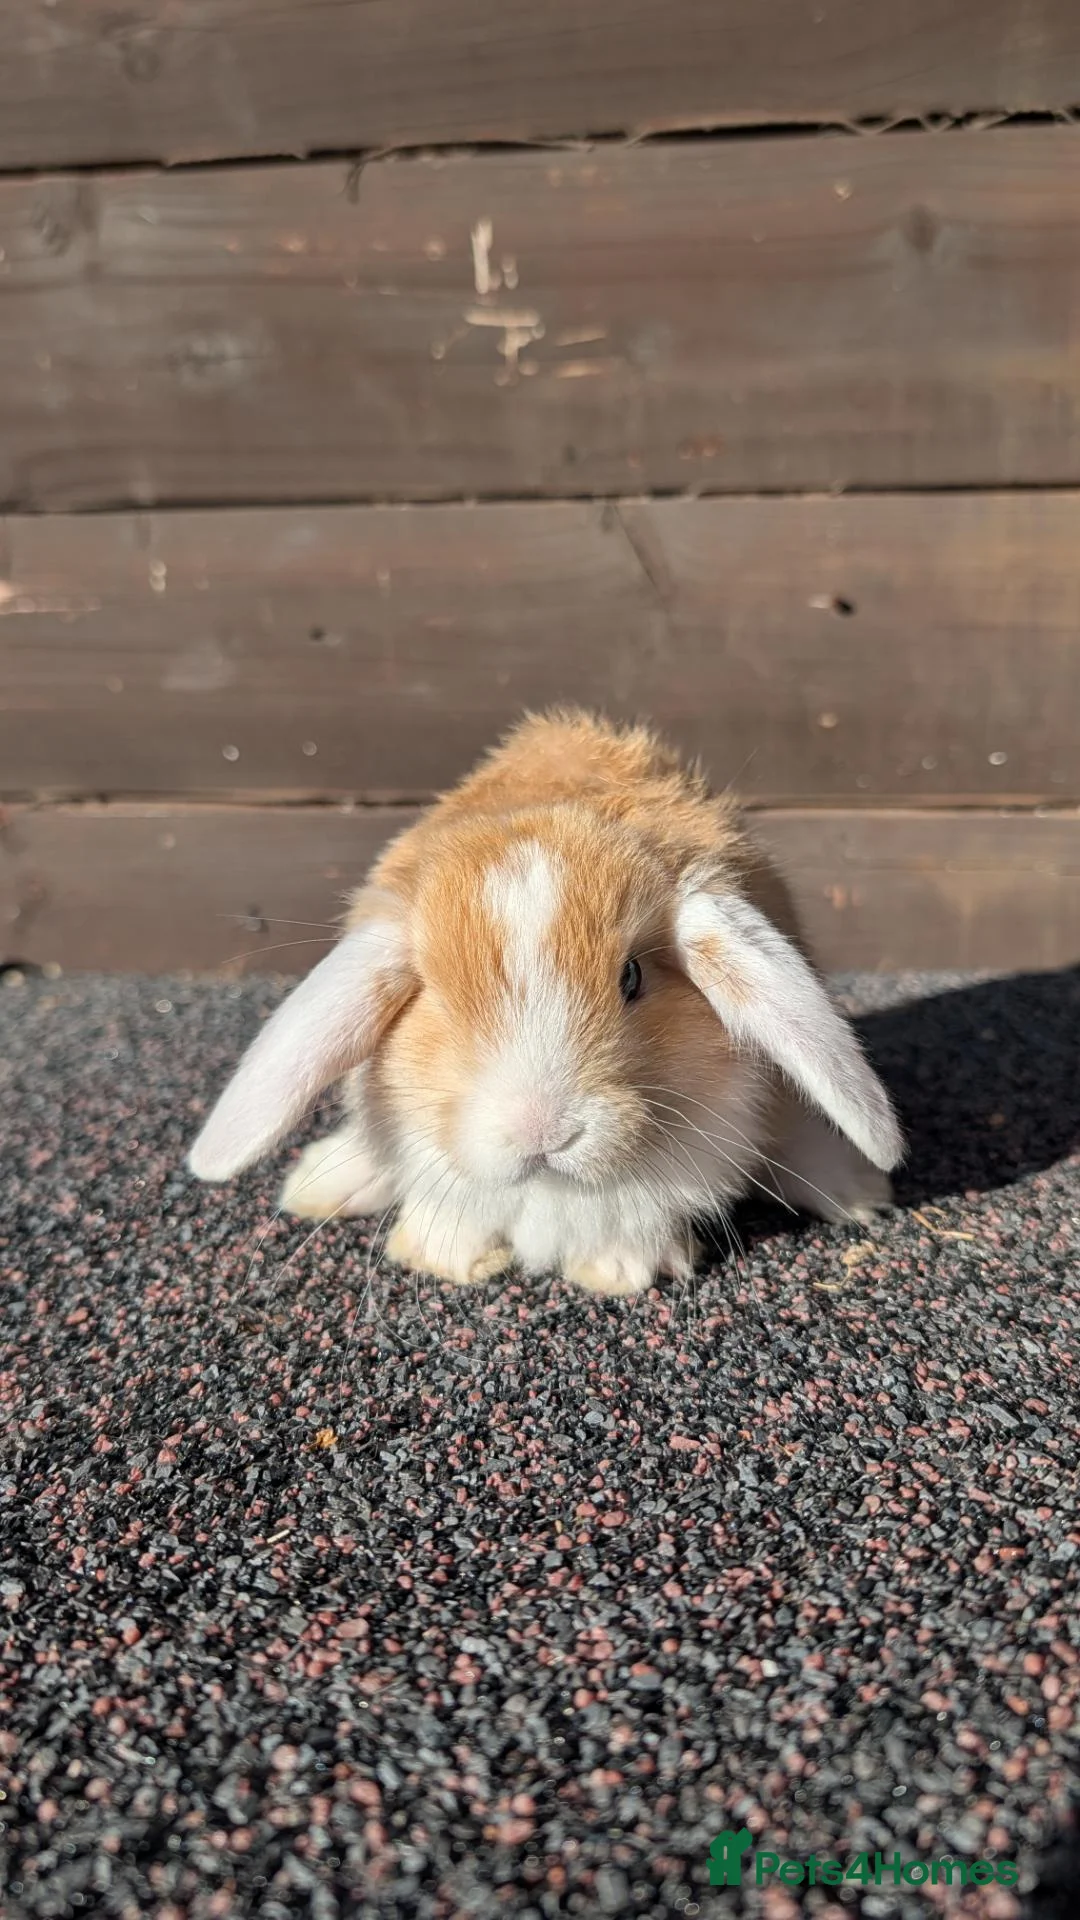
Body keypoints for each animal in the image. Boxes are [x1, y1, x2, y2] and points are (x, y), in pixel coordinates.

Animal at [187, 711, 902, 1296]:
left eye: (632, 978)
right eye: (436, 997)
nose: (543, 1133)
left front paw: (616, 1270)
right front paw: (447, 1255)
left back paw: (856, 1190)